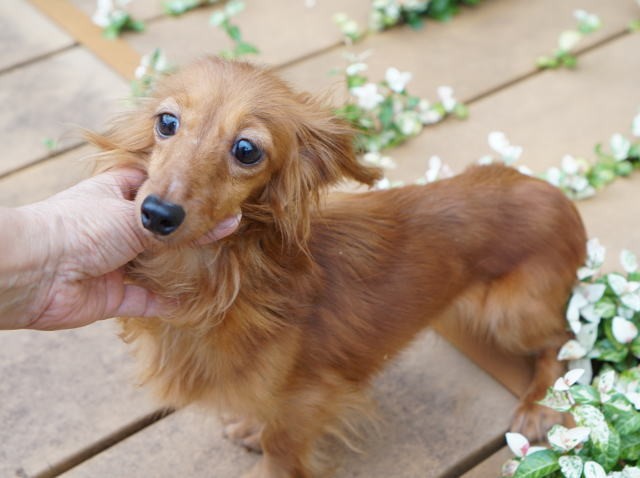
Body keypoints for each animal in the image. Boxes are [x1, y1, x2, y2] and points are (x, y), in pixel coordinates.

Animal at [87, 58, 588, 476]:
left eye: (246, 149)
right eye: (166, 123)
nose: (157, 213)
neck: (219, 281)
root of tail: (555, 195)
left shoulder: (306, 401)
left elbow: (280, 450)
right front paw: (252, 425)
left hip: (510, 313)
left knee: (564, 341)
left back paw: (539, 405)